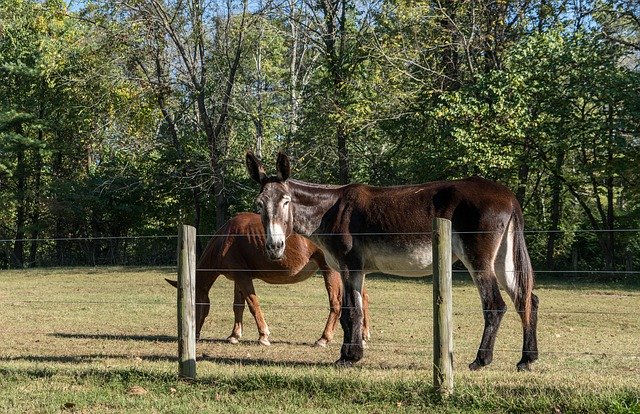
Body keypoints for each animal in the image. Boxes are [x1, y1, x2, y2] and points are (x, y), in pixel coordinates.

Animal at [166, 213, 370, 346]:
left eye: (193, 305)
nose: (194, 335)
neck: (226, 238)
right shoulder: (239, 277)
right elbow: (238, 306)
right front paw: (234, 335)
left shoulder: (243, 277)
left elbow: (253, 304)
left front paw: (263, 335)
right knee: (363, 299)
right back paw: (363, 335)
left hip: (331, 271)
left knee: (336, 303)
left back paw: (324, 338)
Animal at [248, 153, 536, 372]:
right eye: (259, 204)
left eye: (286, 202)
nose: (274, 248)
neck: (329, 211)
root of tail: (508, 195)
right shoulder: (354, 270)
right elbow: (354, 311)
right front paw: (351, 354)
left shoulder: (349, 266)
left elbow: (350, 312)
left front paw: (347, 358)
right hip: (502, 259)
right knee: (527, 300)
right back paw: (527, 360)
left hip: (478, 259)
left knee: (495, 306)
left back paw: (481, 360)